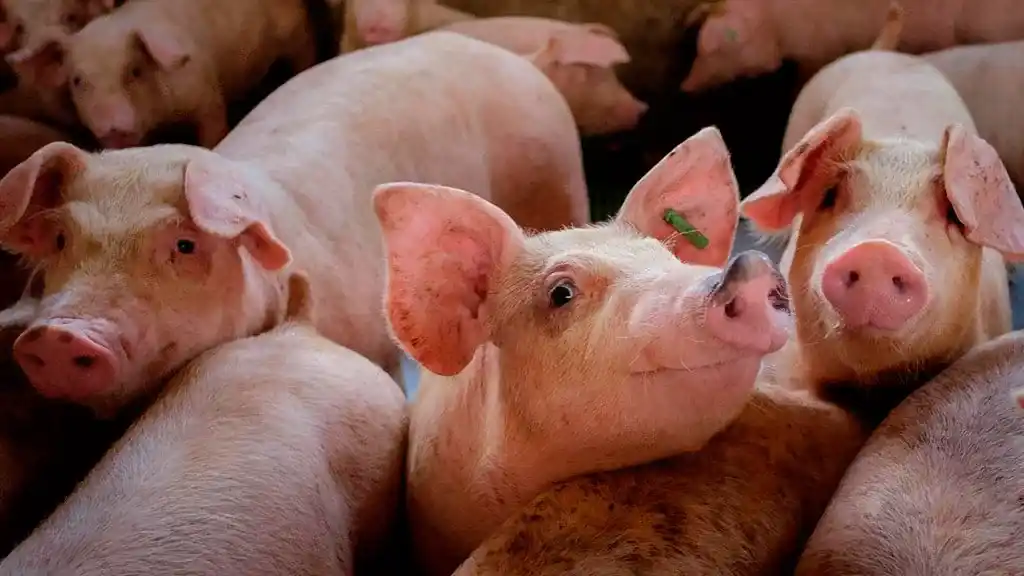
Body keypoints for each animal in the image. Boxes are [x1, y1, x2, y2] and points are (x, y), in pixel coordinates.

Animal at [8, 0, 322, 149]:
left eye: (134, 71)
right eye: (78, 81)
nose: (114, 125)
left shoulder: (206, 93)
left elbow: (213, 129)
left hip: (297, 32)